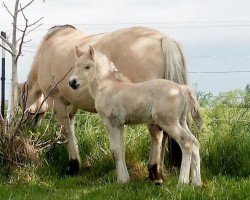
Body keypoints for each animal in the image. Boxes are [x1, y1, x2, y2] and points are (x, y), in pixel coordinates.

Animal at [22, 24, 188, 180]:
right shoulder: (72, 105)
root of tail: (162, 38)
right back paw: (158, 170)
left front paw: (73, 166)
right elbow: (71, 130)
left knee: (156, 134)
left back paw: (155, 172)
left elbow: (66, 133)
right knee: (164, 135)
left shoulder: (57, 102)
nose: (27, 128)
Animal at [68, 45, 203, 186]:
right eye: (75, 66)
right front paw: (125, 179)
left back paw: (182, 182)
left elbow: (115, 150)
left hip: (169, 122)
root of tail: (181, 89)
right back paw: (197, 183)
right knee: (194, 142)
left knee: (186, 143)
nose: (72, 82)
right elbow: (121, 149)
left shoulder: (110, 123)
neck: (107, 86)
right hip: (181, 121)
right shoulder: (119, 124)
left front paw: (121, 180)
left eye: (87, 66)